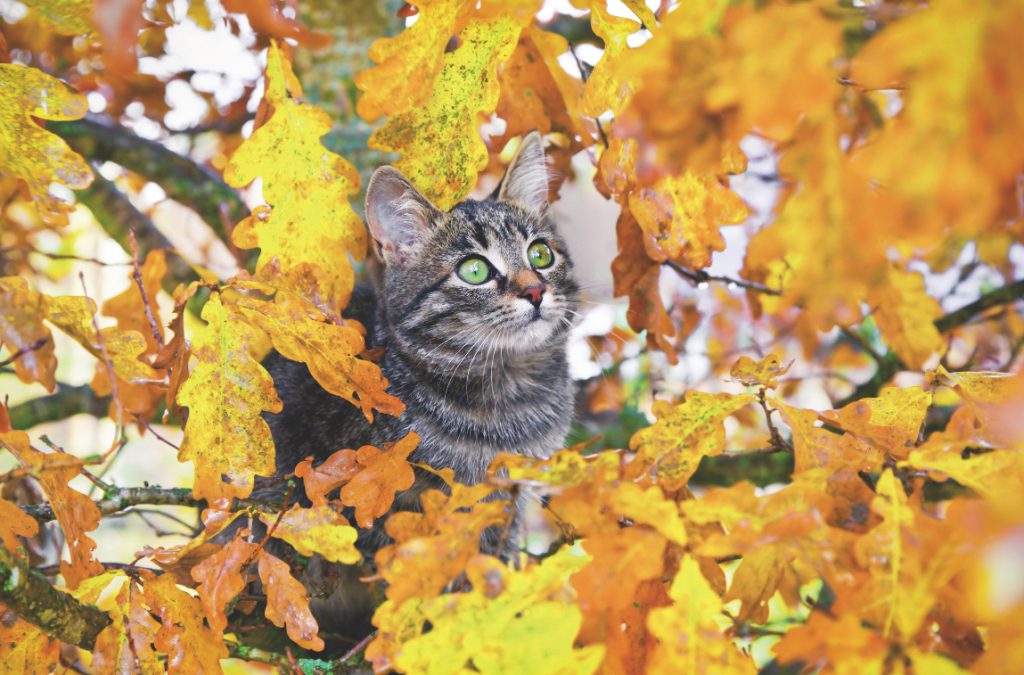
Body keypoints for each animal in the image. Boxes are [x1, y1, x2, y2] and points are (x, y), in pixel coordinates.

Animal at [256, 132, 585, 639]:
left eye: (540, 255)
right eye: (474, 270)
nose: (534, 290)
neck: (509, 391)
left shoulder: (505, 509)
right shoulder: (380, 508)